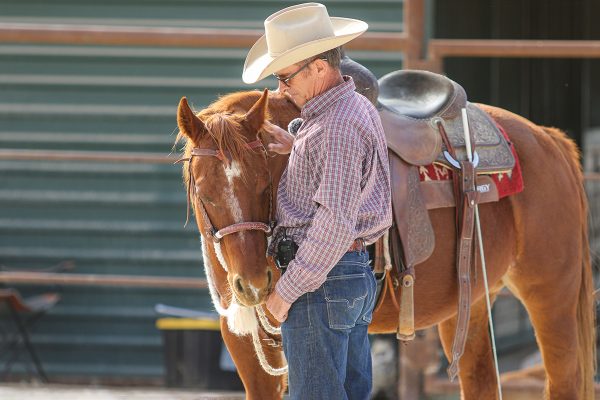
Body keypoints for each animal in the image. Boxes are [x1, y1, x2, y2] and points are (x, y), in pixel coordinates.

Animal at [175, 86, 596, 398]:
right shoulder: (246, 346)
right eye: (204, 193)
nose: (253, 284)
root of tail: (549, 138)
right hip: (474, 301)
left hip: (551, 297)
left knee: (565, 381)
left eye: (265, 186)